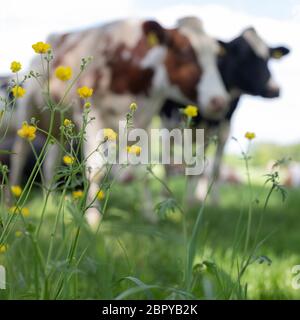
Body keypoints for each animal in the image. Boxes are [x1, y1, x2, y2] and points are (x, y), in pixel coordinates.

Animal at [9, 18, 229, 225]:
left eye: (216, 56)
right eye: (184, 51)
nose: (220, 100)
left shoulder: (145, 122)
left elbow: (143, 171)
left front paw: (149, 215)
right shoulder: (91, 114)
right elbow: (96, 170)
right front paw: (92, 218)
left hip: (58, 127)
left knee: (50, 164)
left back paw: (51, 201)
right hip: (27, 110)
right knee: (20, 155)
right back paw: (11, 199)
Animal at [161, 26, 290, 204]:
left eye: (268, 57)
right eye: (243, 56)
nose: (274, 89)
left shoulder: (224, 128)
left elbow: (214, 168)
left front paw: (213, 202)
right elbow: (190, 165)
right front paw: (187, 202)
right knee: (168, 162)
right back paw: (167, 195)